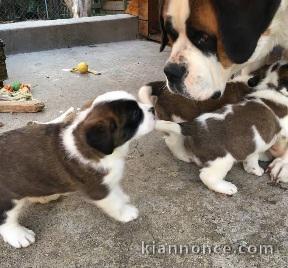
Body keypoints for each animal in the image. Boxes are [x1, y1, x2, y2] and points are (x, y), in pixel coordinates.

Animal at [0, 91, 155, 248]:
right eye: (135, 114)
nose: (153, 109)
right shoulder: (98, 189)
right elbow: (114, 203)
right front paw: (126, 213)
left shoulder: (108, 181)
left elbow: (116, 191)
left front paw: (123, 198)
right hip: (7, 198)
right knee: (6, 218)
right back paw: (18, 235)